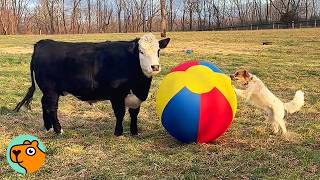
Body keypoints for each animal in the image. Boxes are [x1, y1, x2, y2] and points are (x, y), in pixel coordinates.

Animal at [14, 33, 170, 136]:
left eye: (158, 51)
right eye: (141, 52)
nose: (155, 67)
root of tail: (42, 43)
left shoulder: (136, 97)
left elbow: (134, 114)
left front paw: (134, 132)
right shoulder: (116, 95)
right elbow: (120, 113)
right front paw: (118, 133)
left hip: (48, 90)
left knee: (44, 104)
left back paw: (48, 127)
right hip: (50, 89)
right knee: (52, 107)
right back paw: (58, 130)